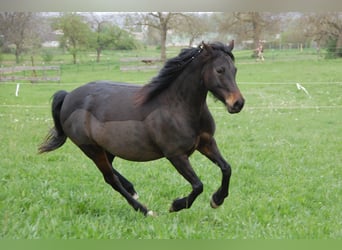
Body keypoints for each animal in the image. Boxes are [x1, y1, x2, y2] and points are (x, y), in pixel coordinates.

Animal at [38, 41, 244, 217]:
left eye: (235, 69)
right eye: (219, 70)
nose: (238, 104)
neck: (177, 107)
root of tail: (68, 96)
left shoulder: (206, 142)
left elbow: (226, 168)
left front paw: (217, 199)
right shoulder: (175, 155)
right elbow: (198, 185)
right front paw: (176, 205)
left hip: (106, 149)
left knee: (111, 172)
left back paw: (132, 189)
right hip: (91, 149)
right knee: (110, 178)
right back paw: (145, 210)